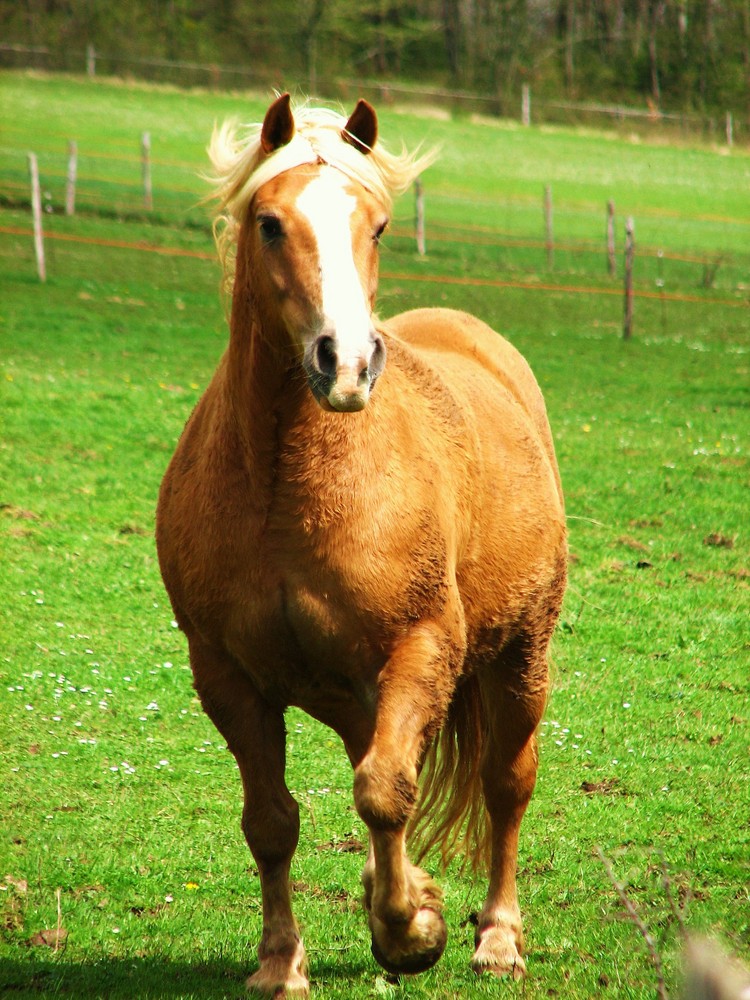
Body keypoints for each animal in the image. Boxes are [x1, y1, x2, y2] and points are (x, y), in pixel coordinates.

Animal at [160, 92, 568, 992]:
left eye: (377, 225)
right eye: (270, 223)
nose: (345, 362)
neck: (289, 488)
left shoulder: (426, 645)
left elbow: (385, 791)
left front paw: (414, 932)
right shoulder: (226, 674)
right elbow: (273, 821)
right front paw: (283, 963)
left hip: (519, 657)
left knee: (505, 784)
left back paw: (497, 937)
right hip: (356, 689)